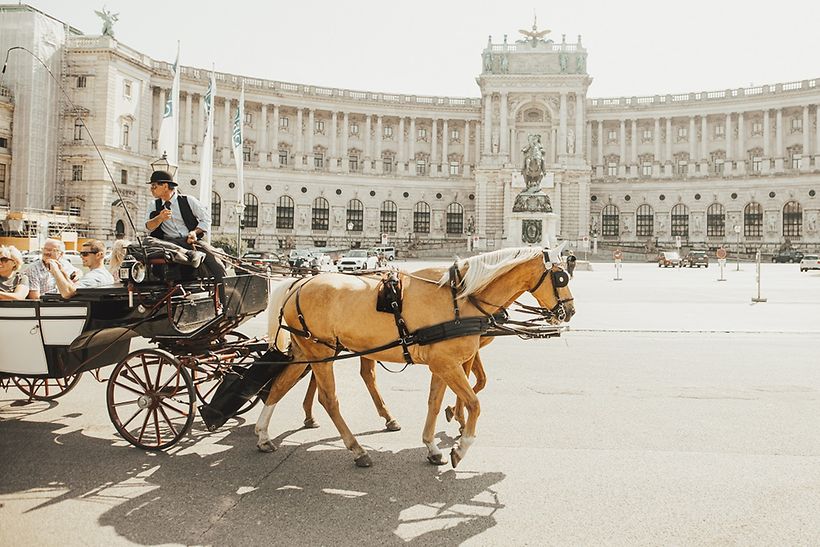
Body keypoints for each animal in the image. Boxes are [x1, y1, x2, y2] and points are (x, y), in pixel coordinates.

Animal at [253, 247, 572, 466]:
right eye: (561, 277)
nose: (570, 311)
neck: (460, 299)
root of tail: (299, 283)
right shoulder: (449, 363)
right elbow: (474, 401)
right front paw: (461, 445)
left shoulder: (443, 364)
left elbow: (436, 402)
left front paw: (433, 446)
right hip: (321, 350)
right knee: (329, 399)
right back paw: (357, 449)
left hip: (309, 350)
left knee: (280, 385)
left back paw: (264, 435)